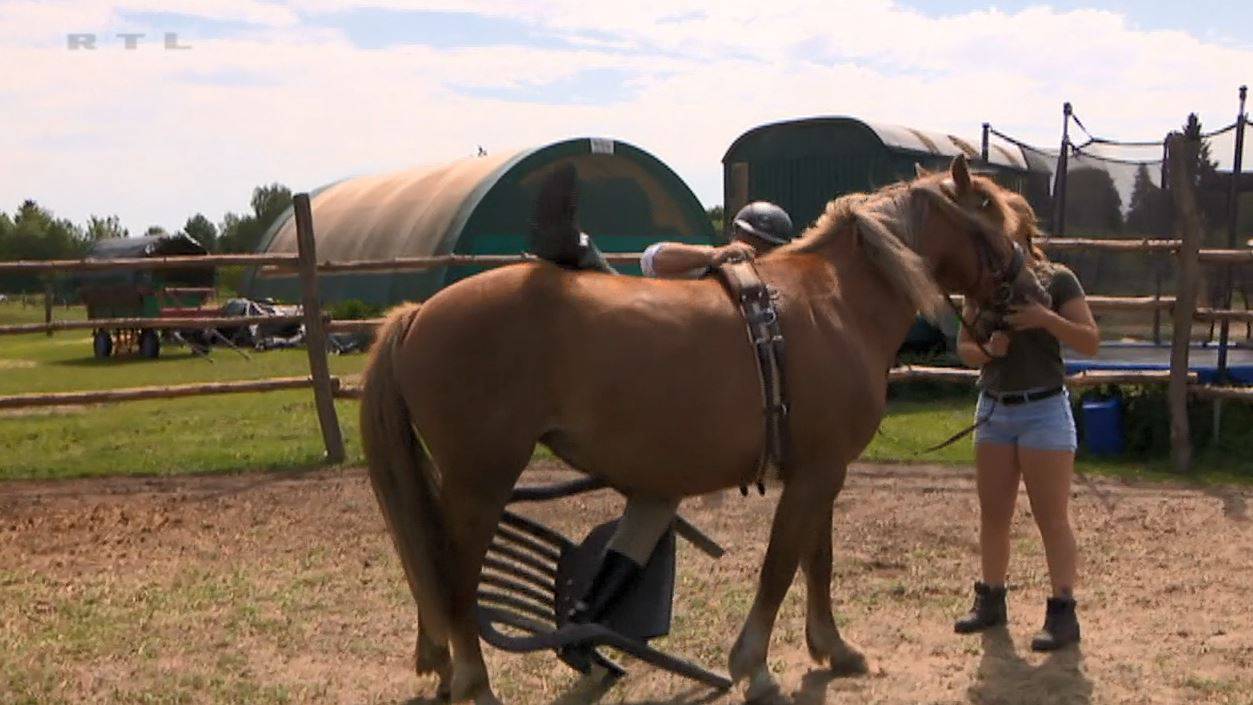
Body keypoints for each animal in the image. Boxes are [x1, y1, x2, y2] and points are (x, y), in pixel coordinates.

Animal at [358, 155, 1022, 705]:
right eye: (994, 213)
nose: (1030, 280)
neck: (836, 303)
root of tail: (418, 313)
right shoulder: (814, 475)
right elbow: (781, 566)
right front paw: (755, 667)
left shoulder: (822, 471)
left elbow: (818, 560)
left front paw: (833, 649)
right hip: (482, 480)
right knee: (452, 575)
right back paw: (474, 682)